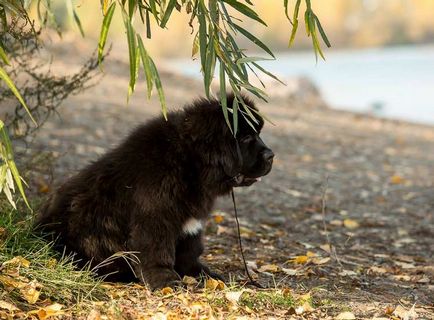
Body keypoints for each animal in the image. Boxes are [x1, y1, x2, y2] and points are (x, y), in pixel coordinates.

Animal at [38, 93, 274, 290]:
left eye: (258, 134)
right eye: (246, 138)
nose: (271, 155)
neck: (189, 162)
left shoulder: (190, 224)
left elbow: (189, 253)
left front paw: (204, 274)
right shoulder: (155, 215)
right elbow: (156, 250)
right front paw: (166, 281)